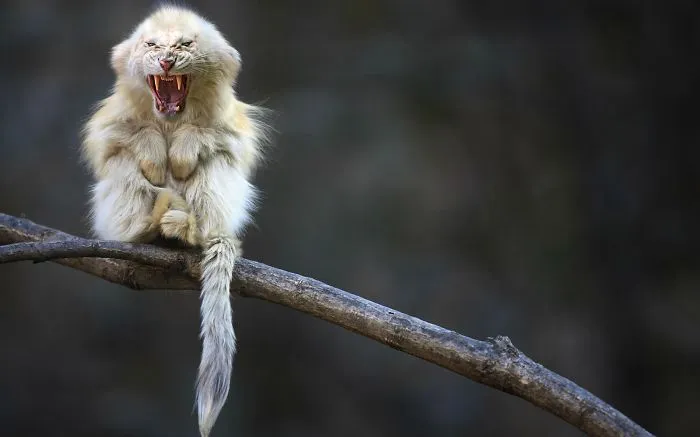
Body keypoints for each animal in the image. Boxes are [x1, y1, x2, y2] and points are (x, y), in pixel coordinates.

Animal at [81, 6, 267, 436]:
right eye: (151, 45)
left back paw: (189, 230)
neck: (170, 118)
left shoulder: (232, 124)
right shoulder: (111, 121)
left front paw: (182, 151)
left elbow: (228, 143)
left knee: (216, 164)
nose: (166, 60)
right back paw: (145, 228)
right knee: (123, 165)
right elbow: (112, 141)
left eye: (185, 44)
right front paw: (152, 151)